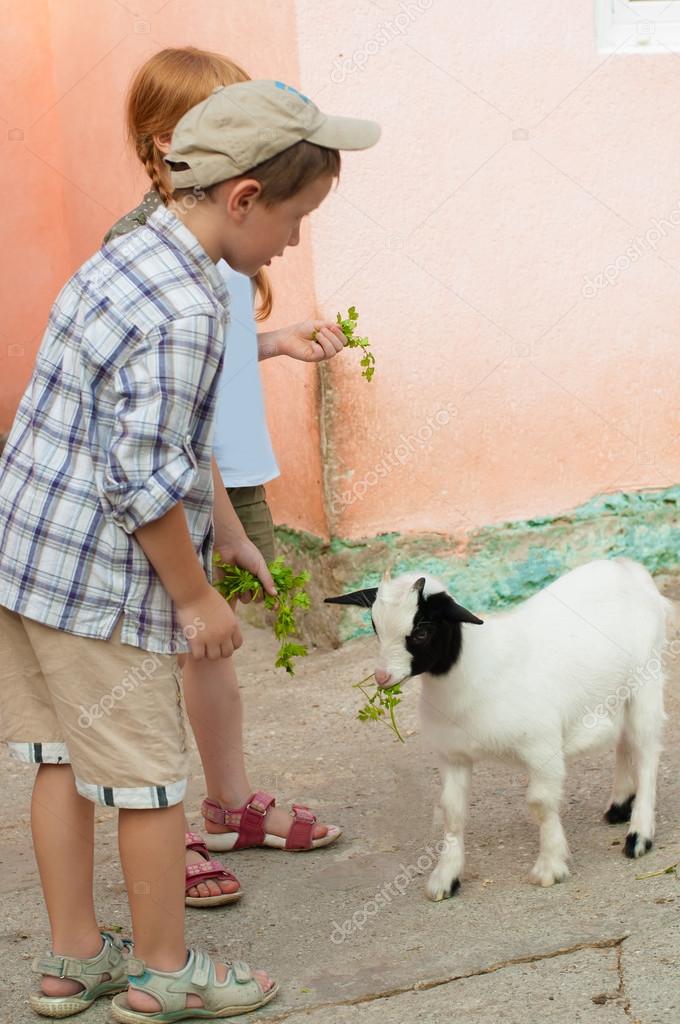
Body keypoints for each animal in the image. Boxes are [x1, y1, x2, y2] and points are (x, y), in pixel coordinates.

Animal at [327, 561, 671, 905]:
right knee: (625, 740)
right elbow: (452, 812)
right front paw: (445, 878)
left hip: (646, 678)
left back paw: (639, 835)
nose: (382, 677)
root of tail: (627, 567)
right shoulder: (452, 756)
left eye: (422, 631)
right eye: (375, 627)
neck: (472, 671)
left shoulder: (542, 747)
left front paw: (550, 866)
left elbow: (541, 804)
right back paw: (619, 805)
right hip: (618, 693)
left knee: (646, 750)